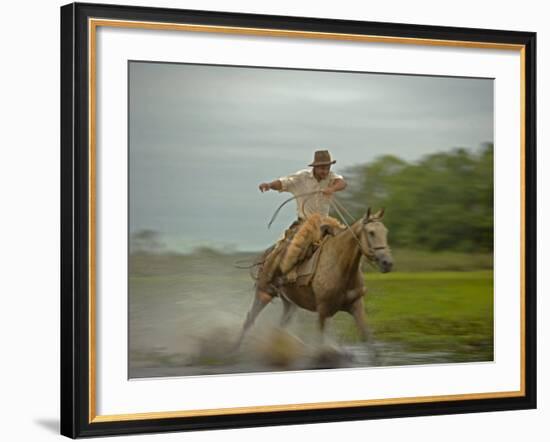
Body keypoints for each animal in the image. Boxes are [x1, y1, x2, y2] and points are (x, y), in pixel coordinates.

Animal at [236, 208, 392, 348]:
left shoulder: (356, 305)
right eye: (371, 232)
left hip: (289, 303)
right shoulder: (322, 310)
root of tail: (269, 253)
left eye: (385, 232)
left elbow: (368, 341)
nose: (388, 263)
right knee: (249, 320)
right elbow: (319, 344)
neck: (340, 267)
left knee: (279, 327)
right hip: (264, 293)